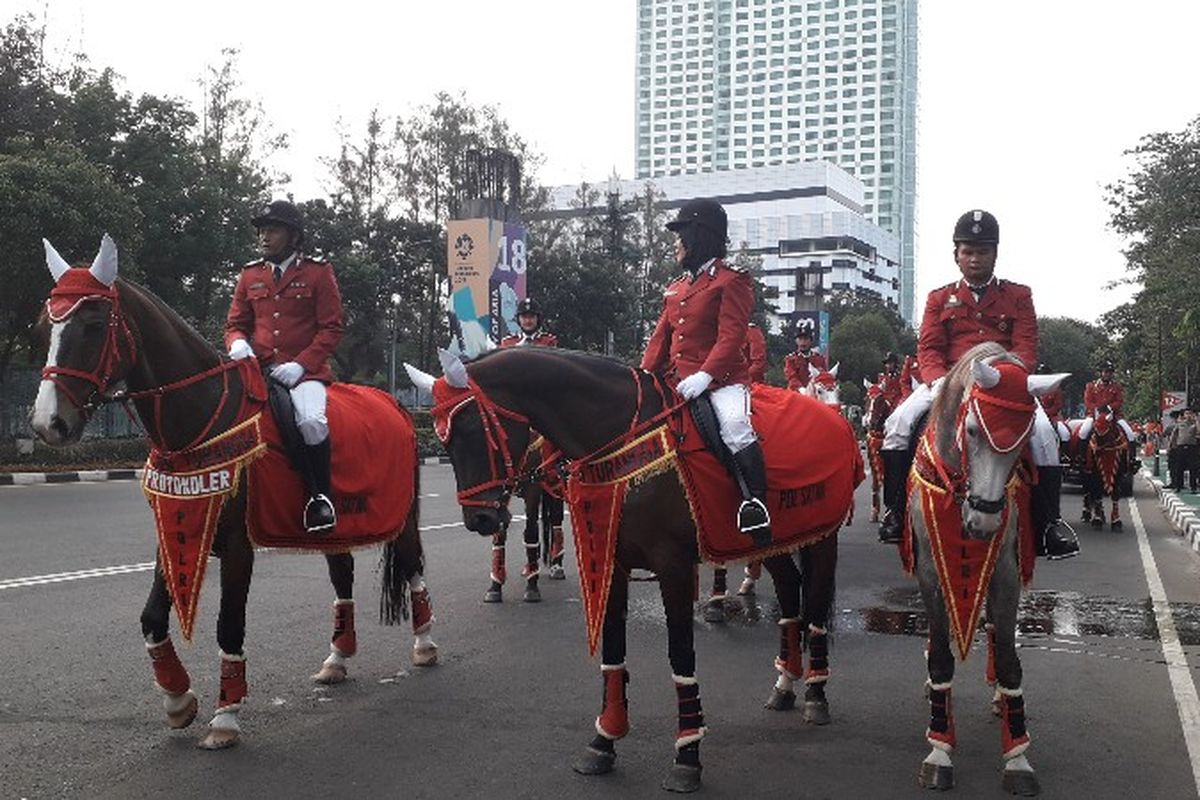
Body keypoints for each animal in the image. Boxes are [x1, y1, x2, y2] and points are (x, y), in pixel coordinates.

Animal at [29, 236, 436, 753]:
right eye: (46, 326)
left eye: (95, 325)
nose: (48, 423)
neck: (199, 420)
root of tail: (396, 404)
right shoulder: (175, 525)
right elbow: (151, 618)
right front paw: (177, 699)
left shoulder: (239, 545)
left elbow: (229, 623)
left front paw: (225, 716)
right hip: (337, 525)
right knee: (342, 574)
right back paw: (337, 659)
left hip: (402, 516)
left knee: (413, 565)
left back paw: (424, 644)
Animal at [408, 347, 859, 791]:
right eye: (442, 439)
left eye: (470, 430)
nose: (479, 519)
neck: (619, 441)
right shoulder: (612, 560)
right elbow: (612, 649)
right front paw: (603, 740)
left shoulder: (674, 566)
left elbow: (680, 653)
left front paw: (687, 753)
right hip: (770, 539)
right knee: (790, 591)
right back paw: (785, 684)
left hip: (823, 535)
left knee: (816, 604)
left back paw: (816, 692)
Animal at [902, 343, 1065, 796]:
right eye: (973, 429)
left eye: (1023, 439)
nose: (984, 522)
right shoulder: (929, 569)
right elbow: (941, 655)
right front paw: (939, 749)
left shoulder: (1006, 571)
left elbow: (1009, 657)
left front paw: (1018, 759)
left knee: (994, 629)